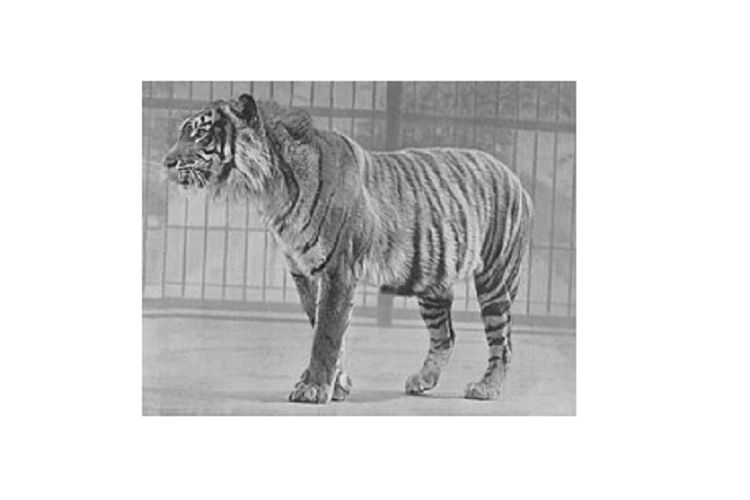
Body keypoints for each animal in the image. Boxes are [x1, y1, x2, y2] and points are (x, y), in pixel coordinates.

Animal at [163, 94, 533, 404]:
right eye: (183, 132)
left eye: (201, 134)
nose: (166, 162)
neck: (271, 189)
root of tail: (514, 176)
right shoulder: (304, 272)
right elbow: (325, 329)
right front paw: (337, 385)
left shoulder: (338, 269)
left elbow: (327, 334)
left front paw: (313, 388)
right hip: (433, 283)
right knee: (446, 335)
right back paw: (422, 381)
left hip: (495, 278)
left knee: (504, 341)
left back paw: (486, 387)